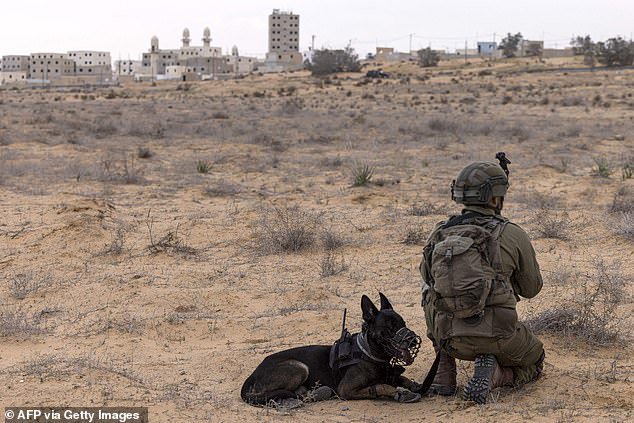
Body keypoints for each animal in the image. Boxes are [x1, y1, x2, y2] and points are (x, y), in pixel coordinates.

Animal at [239, 294, 422, 408]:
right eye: (390, 328)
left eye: (403, 323)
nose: (413, 340)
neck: (369, 353)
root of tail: (252, 374)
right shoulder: (346, 389)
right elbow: (381, 386)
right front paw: (398, 392)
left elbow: (403, 379)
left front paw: (415, 386)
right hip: (299, 367)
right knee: (269, 394)